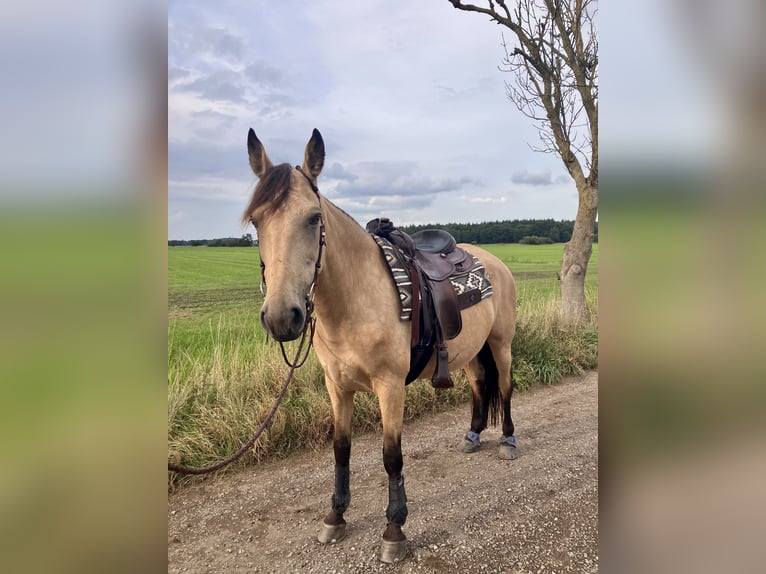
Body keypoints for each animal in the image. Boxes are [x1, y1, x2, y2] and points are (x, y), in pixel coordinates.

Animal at [242, 128, 518, 564]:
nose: (282, 317)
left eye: (314, 218)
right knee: (479, 386)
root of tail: (494, 262)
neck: (357, 299)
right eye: (256, 221)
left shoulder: (390, 387)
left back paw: (507, 440)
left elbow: (391, 457)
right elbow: (341, 449)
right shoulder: (336, 387)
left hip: (501, 343)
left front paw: (394, 529)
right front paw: (335, 517)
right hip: (472, 351)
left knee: (505, 387)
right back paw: (473, 436)